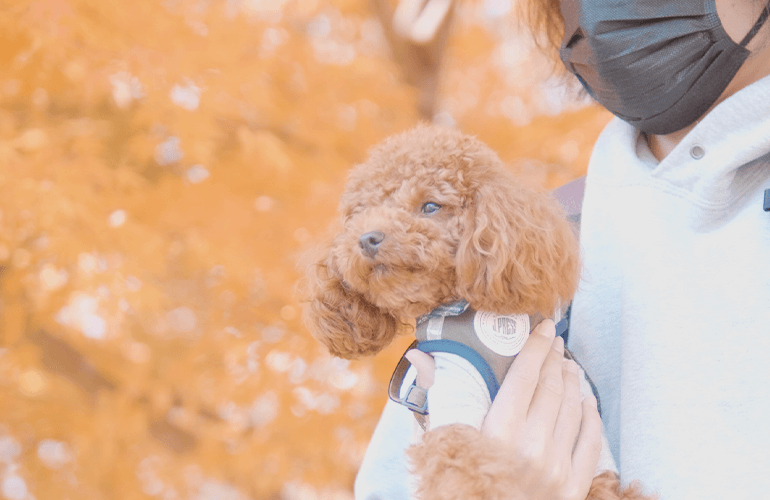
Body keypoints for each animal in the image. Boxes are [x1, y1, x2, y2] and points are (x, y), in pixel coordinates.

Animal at [300, 125, 648, 500]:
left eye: (430, 206)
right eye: (360, 213)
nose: (367, 238)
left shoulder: (592, 440)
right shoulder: (455, 399)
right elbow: (463, 470)